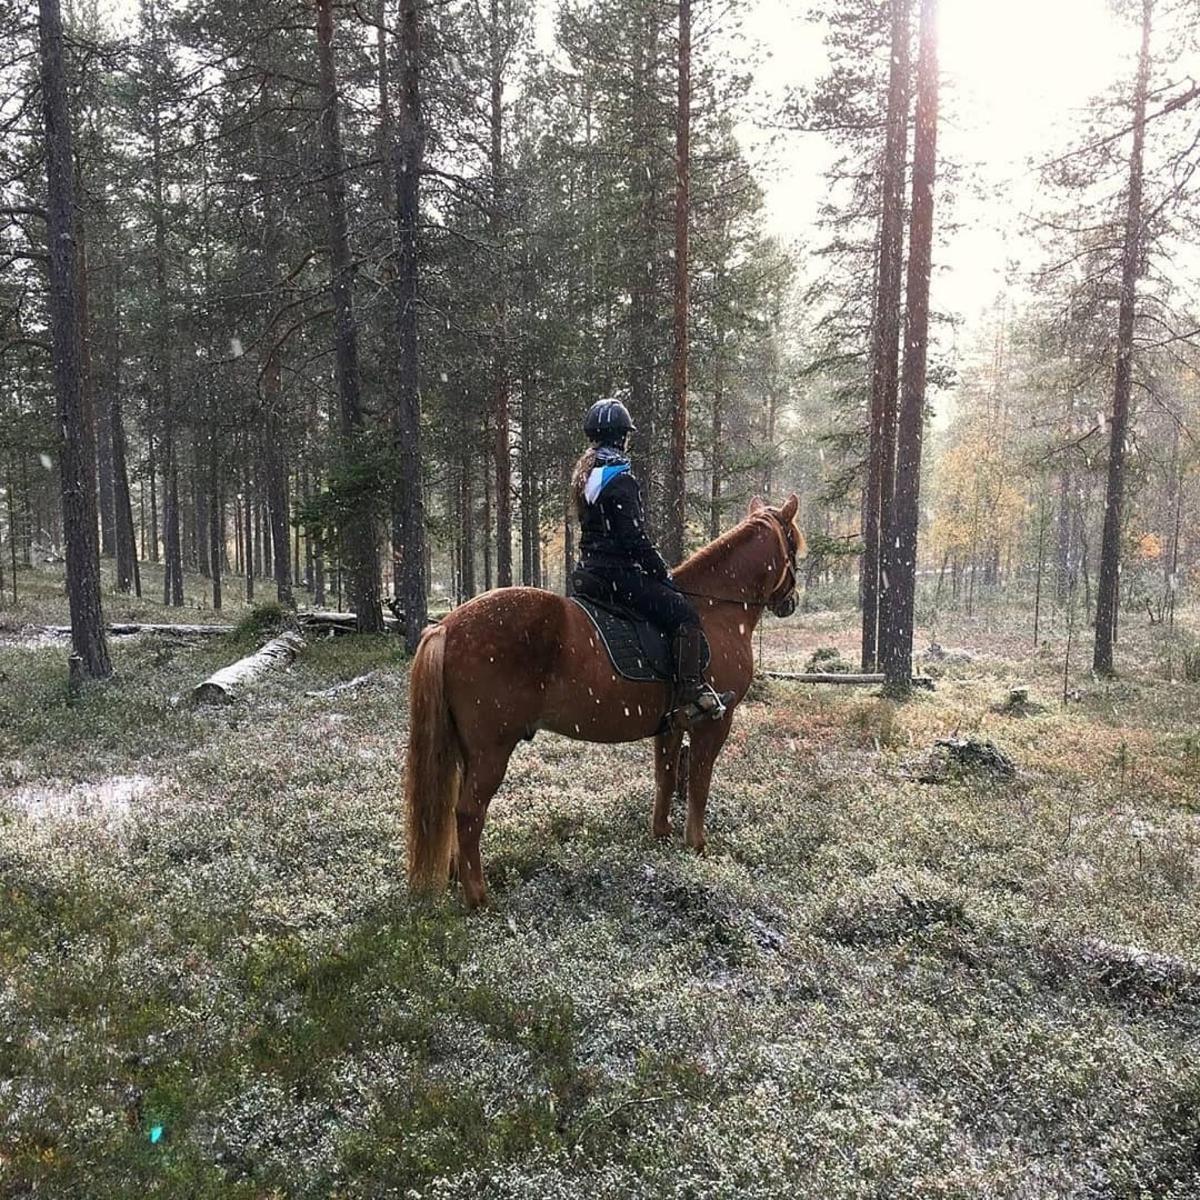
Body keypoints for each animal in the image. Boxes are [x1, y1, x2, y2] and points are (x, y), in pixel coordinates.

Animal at [404, 494, 804, 908]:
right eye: (794, 543)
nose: (791, 601)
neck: (714, 608)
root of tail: (446, 626)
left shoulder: (671, 725)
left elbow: (665, 776)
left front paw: (661, 834)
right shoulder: (714, 723)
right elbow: (699, 782)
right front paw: (696, 845)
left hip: (466, 749)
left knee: (456, 809)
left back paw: (457, 876)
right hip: (491, 750)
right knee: (469, 813)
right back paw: (479, 899)